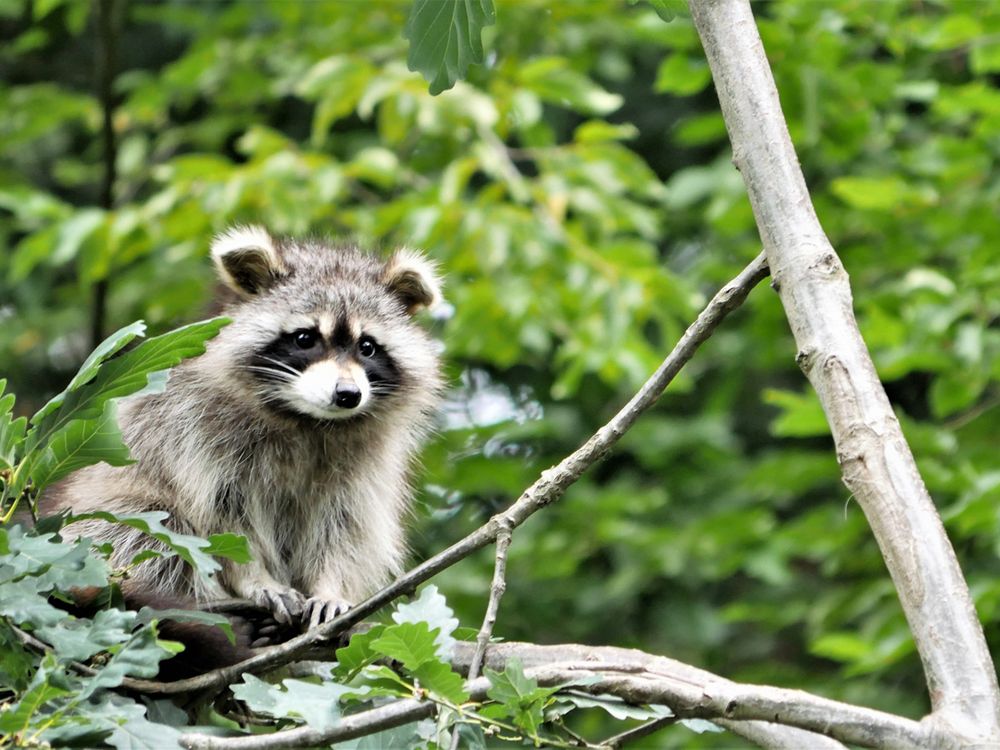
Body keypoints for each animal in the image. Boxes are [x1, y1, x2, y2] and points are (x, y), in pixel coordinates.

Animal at [47, 226, 446, 632]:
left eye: (367, 347)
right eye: (305, 338)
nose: (348, 394)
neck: (306, 418)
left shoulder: (363, 462)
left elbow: (345, 525)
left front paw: (330, 586)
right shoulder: (194, 430)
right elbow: (221, 521)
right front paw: (255, 578)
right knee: (149, 526)